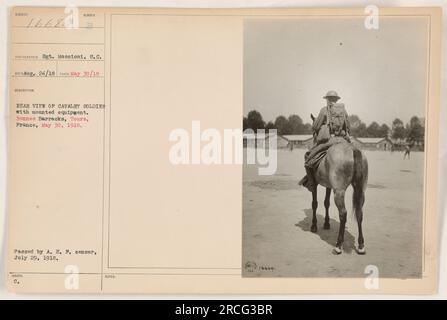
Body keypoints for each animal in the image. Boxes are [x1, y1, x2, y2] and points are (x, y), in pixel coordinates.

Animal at [308, 114, 368, 254]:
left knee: (343, 214)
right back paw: (361, 245)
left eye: (314, 132)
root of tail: (353, 149)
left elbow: (314, 203)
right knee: (359, 213)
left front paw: (314, 225)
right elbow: (326, 203)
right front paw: (326, 223)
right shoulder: (329, 186)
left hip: (339, 192)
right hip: (360, 190)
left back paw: (339, 244)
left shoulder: (315, 184)